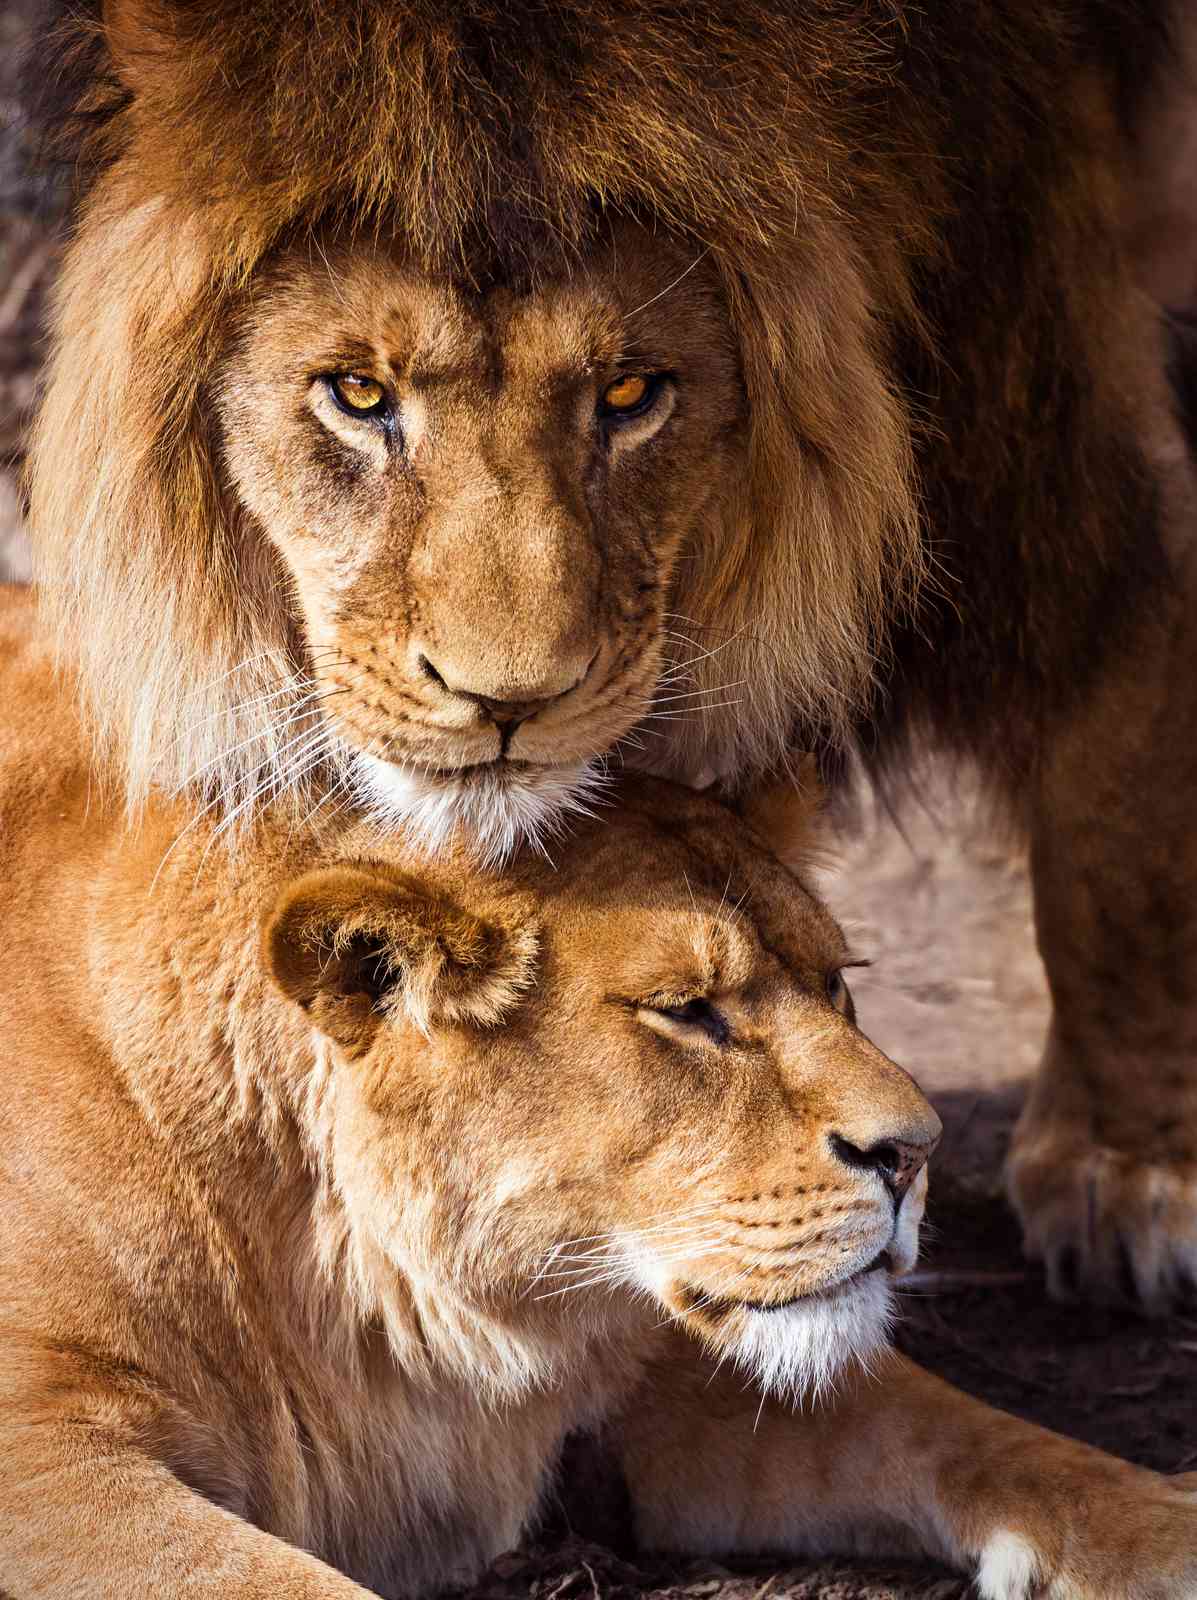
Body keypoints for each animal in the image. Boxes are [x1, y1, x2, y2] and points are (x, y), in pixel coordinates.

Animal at [0, 585, 1194, 1600]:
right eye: (688, 1011)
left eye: (834, 982)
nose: (916, 1150)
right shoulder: (46, 1450)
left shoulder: (661, 1370)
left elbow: (977, 1433)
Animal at [22, 0, 1197, 1310]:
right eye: (357, 393)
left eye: (632, 393)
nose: (509, 701)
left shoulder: (1041, 338)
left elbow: (1122, 773)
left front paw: (1127, 1166)